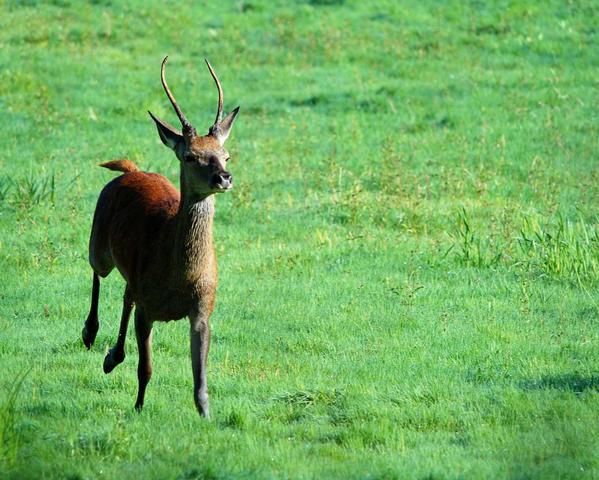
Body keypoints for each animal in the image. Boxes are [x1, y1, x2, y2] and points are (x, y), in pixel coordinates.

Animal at [81, 55, 240, 416]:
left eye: (225, 155)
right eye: (190, 156)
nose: (224, 177)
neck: (178, 280)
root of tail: (130, 170)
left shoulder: (203, 308)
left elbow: (200, 379)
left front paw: (206, 415)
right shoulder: (147, 310)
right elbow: (146, 368)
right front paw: (139, 407)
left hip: (131, 272)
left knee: (125, 293)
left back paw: (112, 356)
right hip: (99, 242)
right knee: (97, 272)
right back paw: (90, 334)